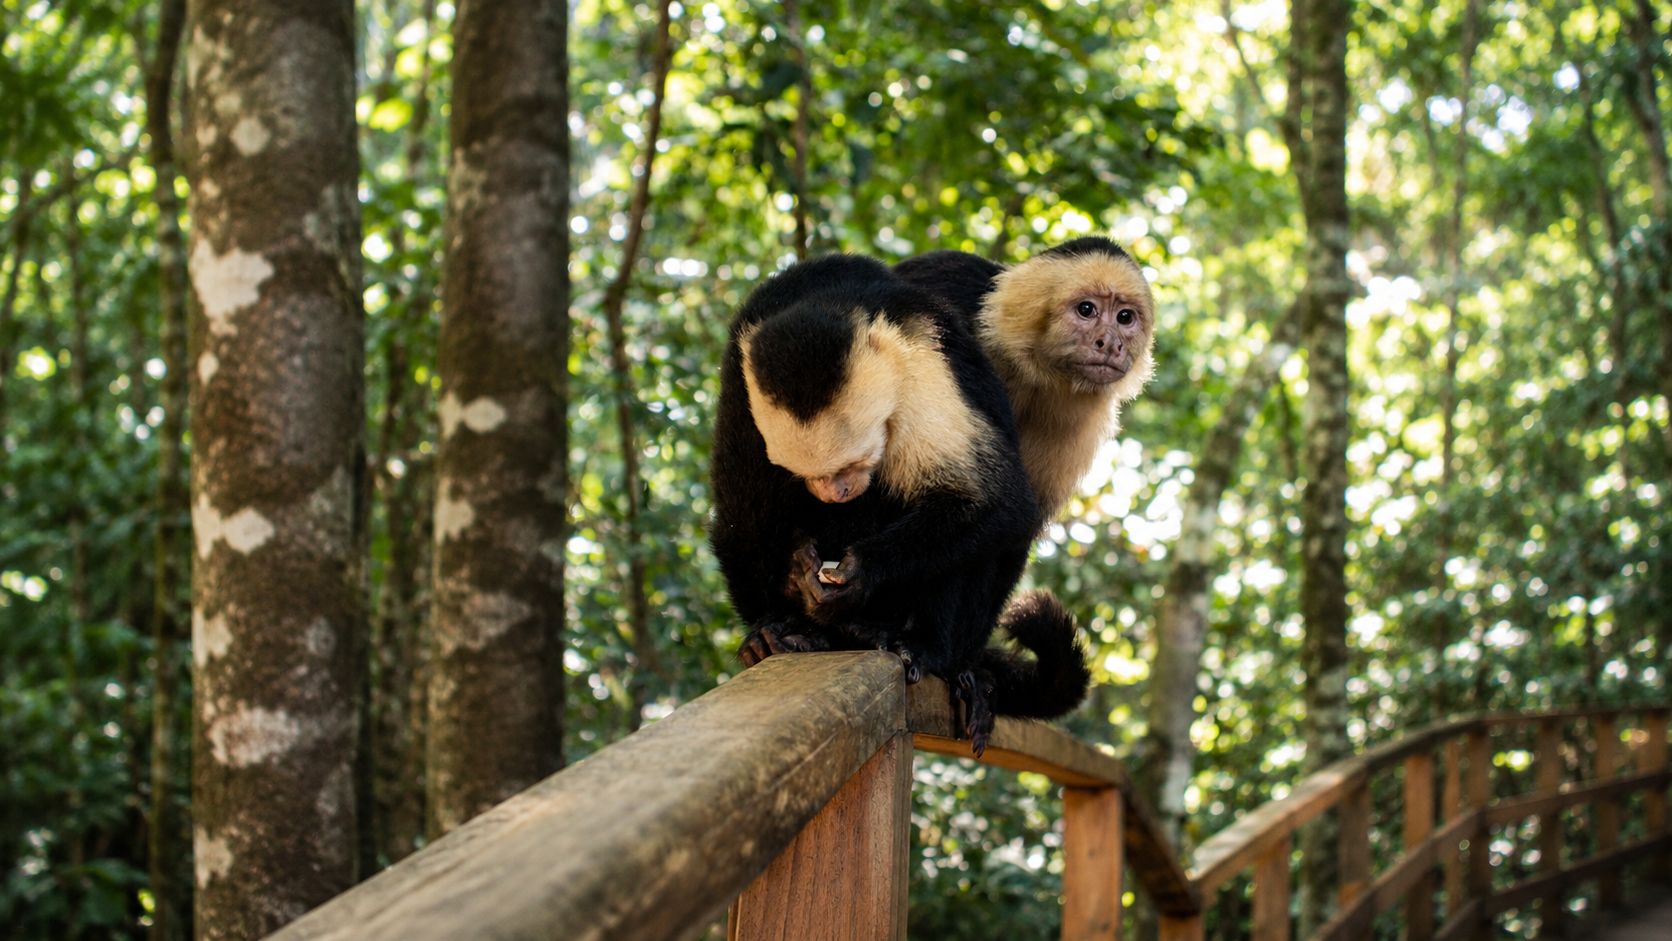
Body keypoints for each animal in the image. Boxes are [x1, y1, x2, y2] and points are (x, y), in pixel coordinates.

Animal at [708, 253, 1090, 753]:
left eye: (853, 463)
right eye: (813, 475)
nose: (835, 491)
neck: (831, 301)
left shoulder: (922, 355)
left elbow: (994, 502)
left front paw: (858, 576)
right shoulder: (741, 379)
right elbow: (742, 521)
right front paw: (770, 628)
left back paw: (924, 646)